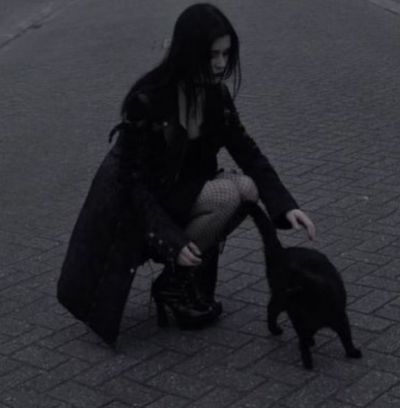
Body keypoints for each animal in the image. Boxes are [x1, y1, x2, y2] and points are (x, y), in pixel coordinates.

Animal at [247, 203, 362, 369]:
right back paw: (275, 329)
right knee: (271, 309)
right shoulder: (299, 320)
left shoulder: (339, 317)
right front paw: (307, 362)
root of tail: (281, 251)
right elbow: (304, 343)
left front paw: (352, 352)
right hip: (279, 299)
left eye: (292, 285)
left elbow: (346, 336)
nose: (287, 289)